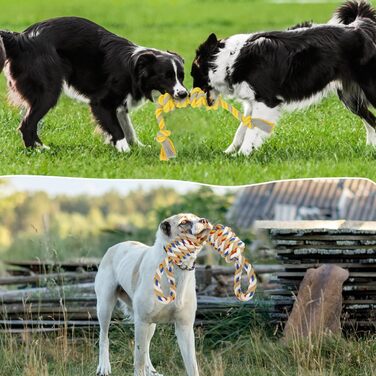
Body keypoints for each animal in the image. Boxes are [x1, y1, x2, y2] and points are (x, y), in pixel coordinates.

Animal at [0, 17, 187, 150]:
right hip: (48, 91)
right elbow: (118, 130)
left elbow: (128, 127)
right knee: (27, 124)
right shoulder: (101, 102)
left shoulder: (120, 104)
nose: (184, 94)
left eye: (181, 76)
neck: (134, 67)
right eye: (167, 76)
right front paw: (124, 150)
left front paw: (138, 147)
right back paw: (38, 150)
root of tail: (19, 38)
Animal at [94, 213, 212, 376]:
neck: (176, 266)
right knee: (104, 337)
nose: (204, 220)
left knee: (147, 348)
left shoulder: (185, 327)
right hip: (105, 307)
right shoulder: (141, 322)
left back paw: (151, 370)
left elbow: (192, 366)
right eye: (184, 222)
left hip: (151, 324)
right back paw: (104, 367)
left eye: (197, 217)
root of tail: (115, 246)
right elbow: (139, 360)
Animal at [192, 0, 376, 155]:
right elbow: (242, 129)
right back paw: (370, 149)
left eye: (193, 75)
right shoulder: (253, 102)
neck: (228, 60)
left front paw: (243, 154)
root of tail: (360, 26)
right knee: (371, 121)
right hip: (350, 97)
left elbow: (251, 131)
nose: (188, 95)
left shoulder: (266, 101)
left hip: (368, 90)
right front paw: (229, 153)